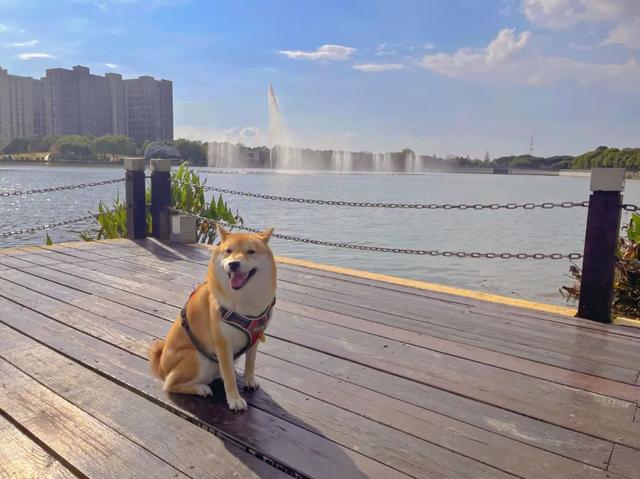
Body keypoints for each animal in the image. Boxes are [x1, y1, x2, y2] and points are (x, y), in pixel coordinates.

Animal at [151, 225, 278, 412]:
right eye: (228, 251)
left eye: (251, 251)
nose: (233, 264)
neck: (245, 300)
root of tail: (161, 366)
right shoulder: (222, 343)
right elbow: (229, 375)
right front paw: (234, 399)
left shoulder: (256, 336)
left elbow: (250, 362)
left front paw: (249, 380)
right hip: (197, 358)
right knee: (170, 383)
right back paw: (200, 388)